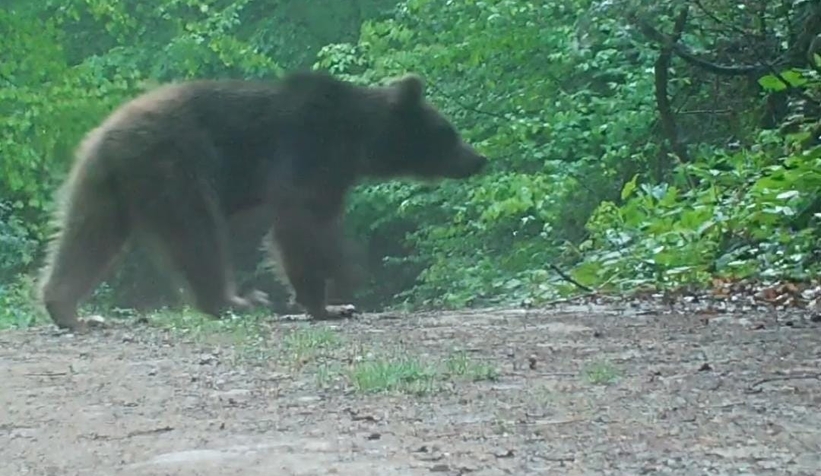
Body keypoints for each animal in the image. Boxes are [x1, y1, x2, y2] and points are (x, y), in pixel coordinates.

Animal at [36, 70, 486, 330]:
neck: (358, 142)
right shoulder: (308, 156)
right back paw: (236, 299)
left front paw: (334, 300)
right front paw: (334, 297)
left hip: (104, 188)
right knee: (197, 235)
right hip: (178, 168)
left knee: (86, 241)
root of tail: (110, 133)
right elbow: (301, 226)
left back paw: (70, 309)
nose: (478, 158)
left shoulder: (332, 173)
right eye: (449, 132)